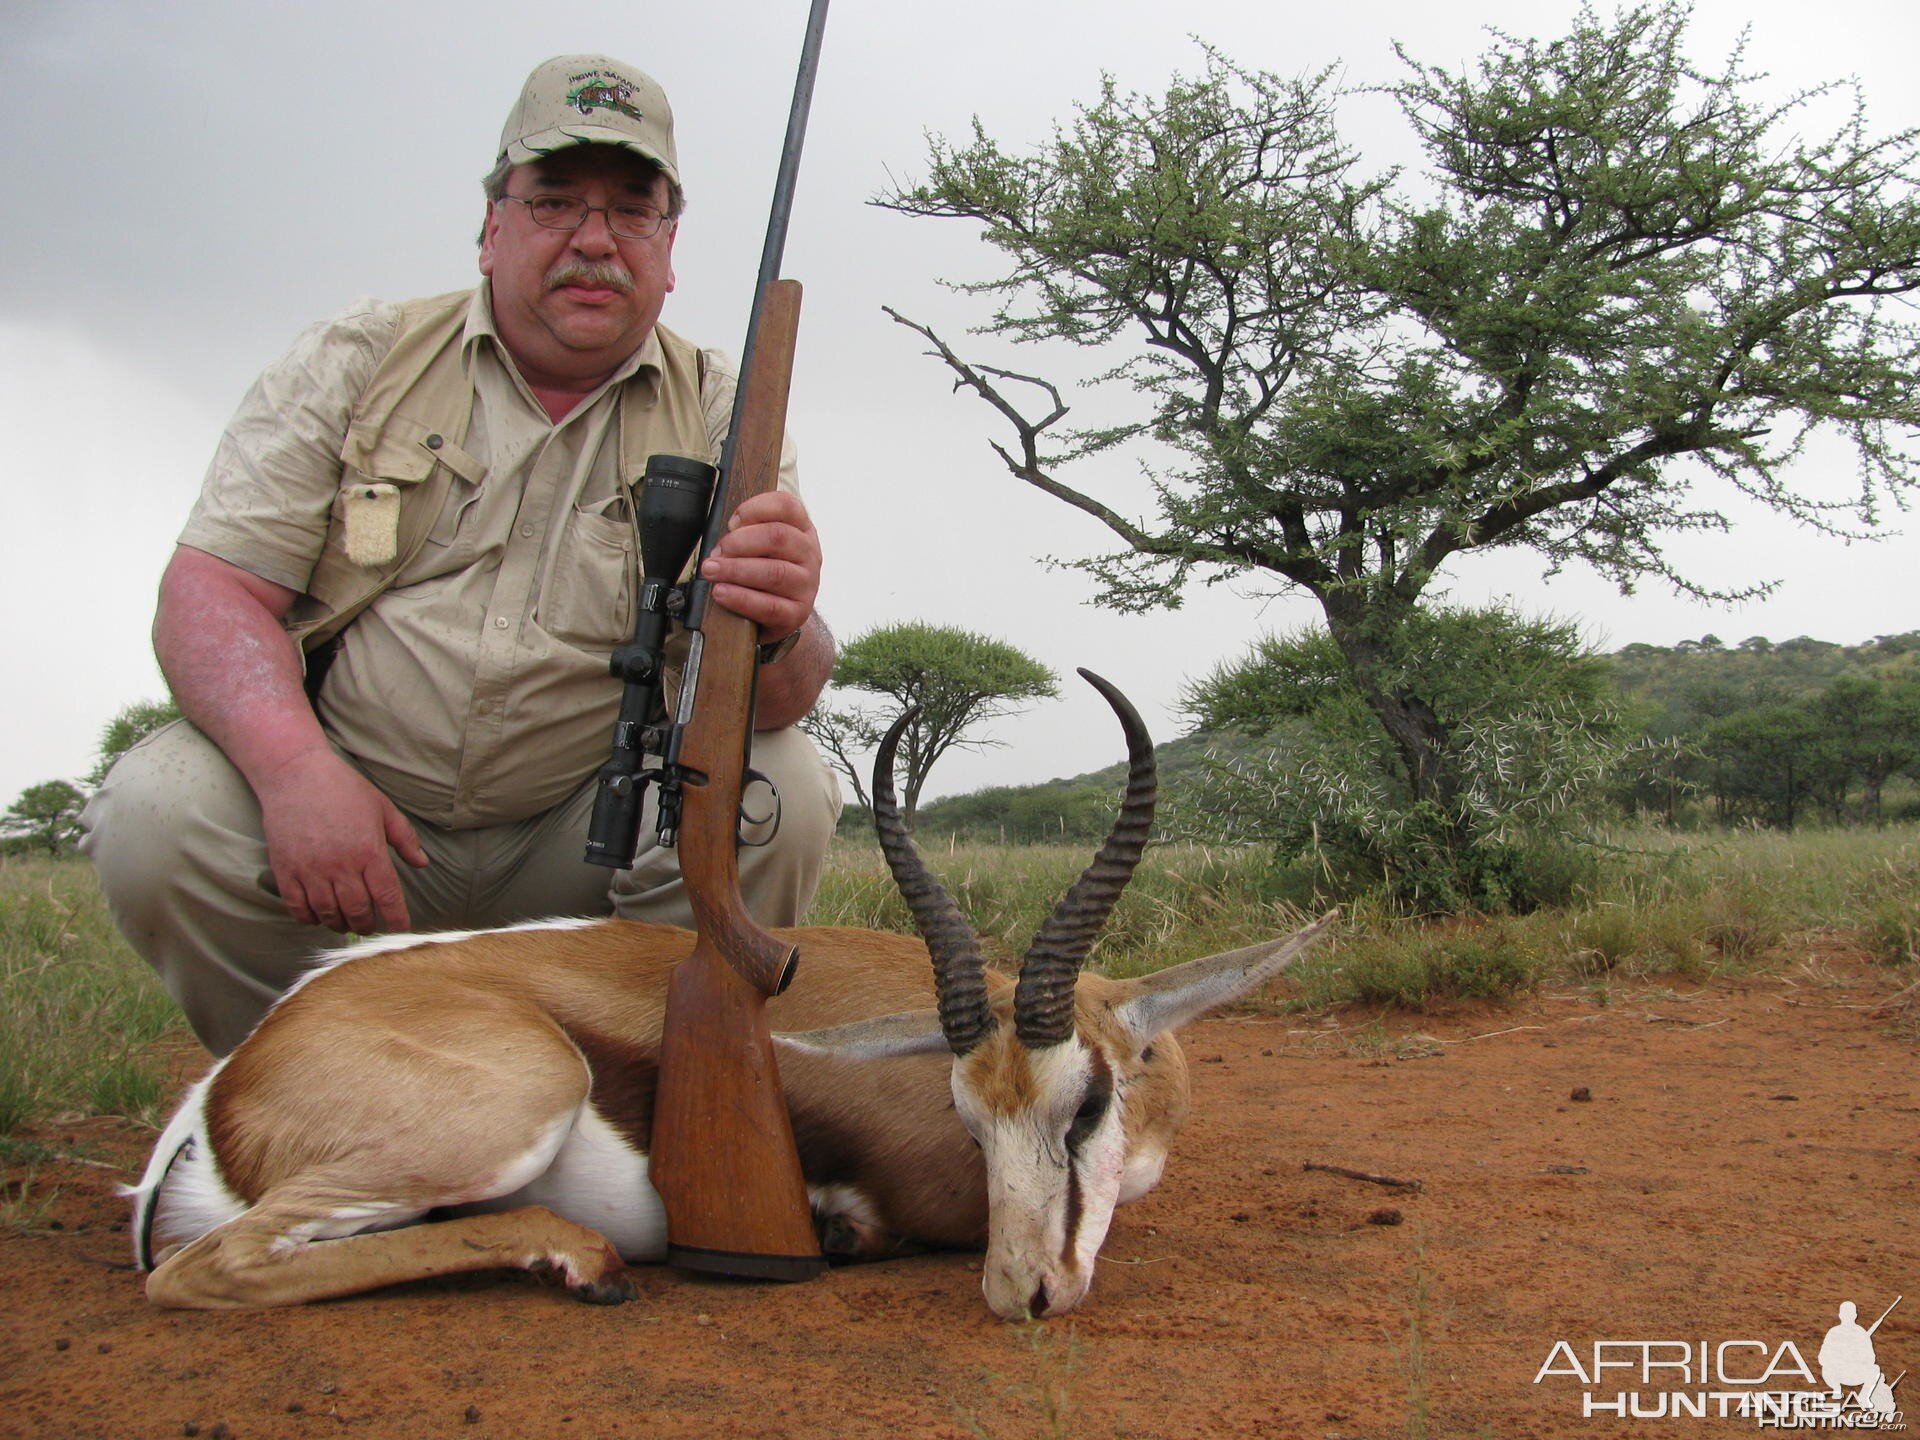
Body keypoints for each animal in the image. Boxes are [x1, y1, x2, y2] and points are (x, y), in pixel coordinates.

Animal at [131, 675, 1336, 1320]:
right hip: (517, 1100)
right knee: (210, 1266)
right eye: (964, 1116)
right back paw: (586, 1260)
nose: (1019, 1293)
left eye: (1083, 1103)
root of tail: (230, 1082)